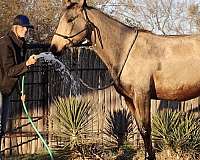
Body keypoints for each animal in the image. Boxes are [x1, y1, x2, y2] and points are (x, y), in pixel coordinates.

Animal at [49, 0, 200, 159]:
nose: (54, 48)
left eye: (70, 19)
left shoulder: (142, 95)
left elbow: (146, 129)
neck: (125, 51)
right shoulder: (129, 98)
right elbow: (141, 129)